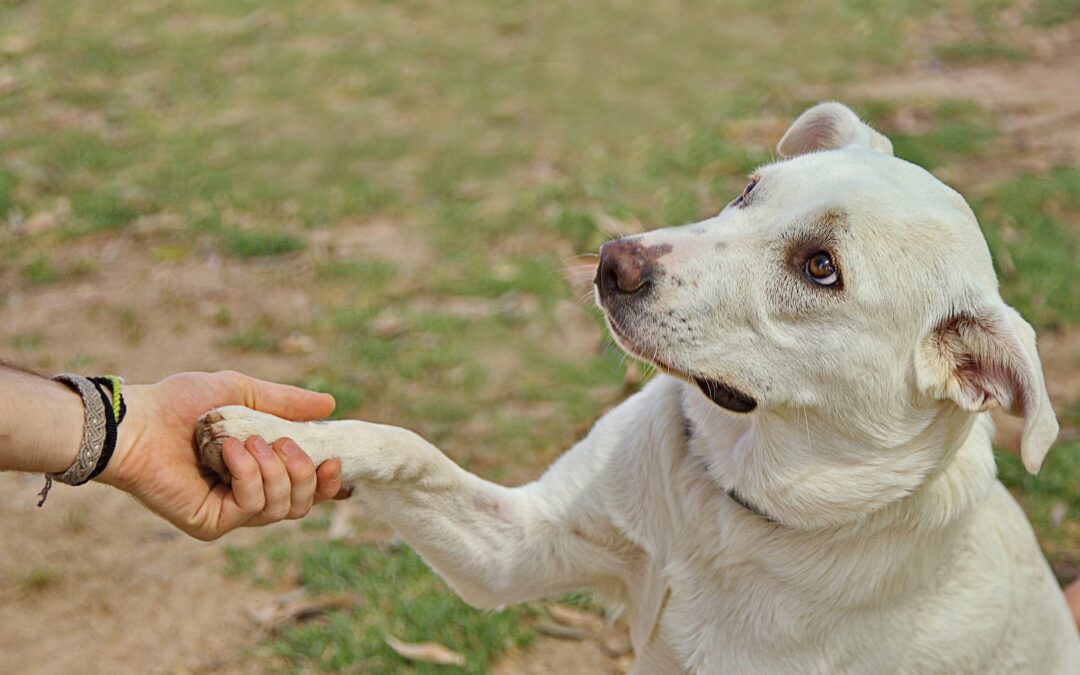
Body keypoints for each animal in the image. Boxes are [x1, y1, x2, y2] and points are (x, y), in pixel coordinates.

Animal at [198, 102, 1080, 669]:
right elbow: (403, 443)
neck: (731, 509)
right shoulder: (517, 549)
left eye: (820, 268)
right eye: (749, 190)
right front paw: (275, 434)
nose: (611, 260)